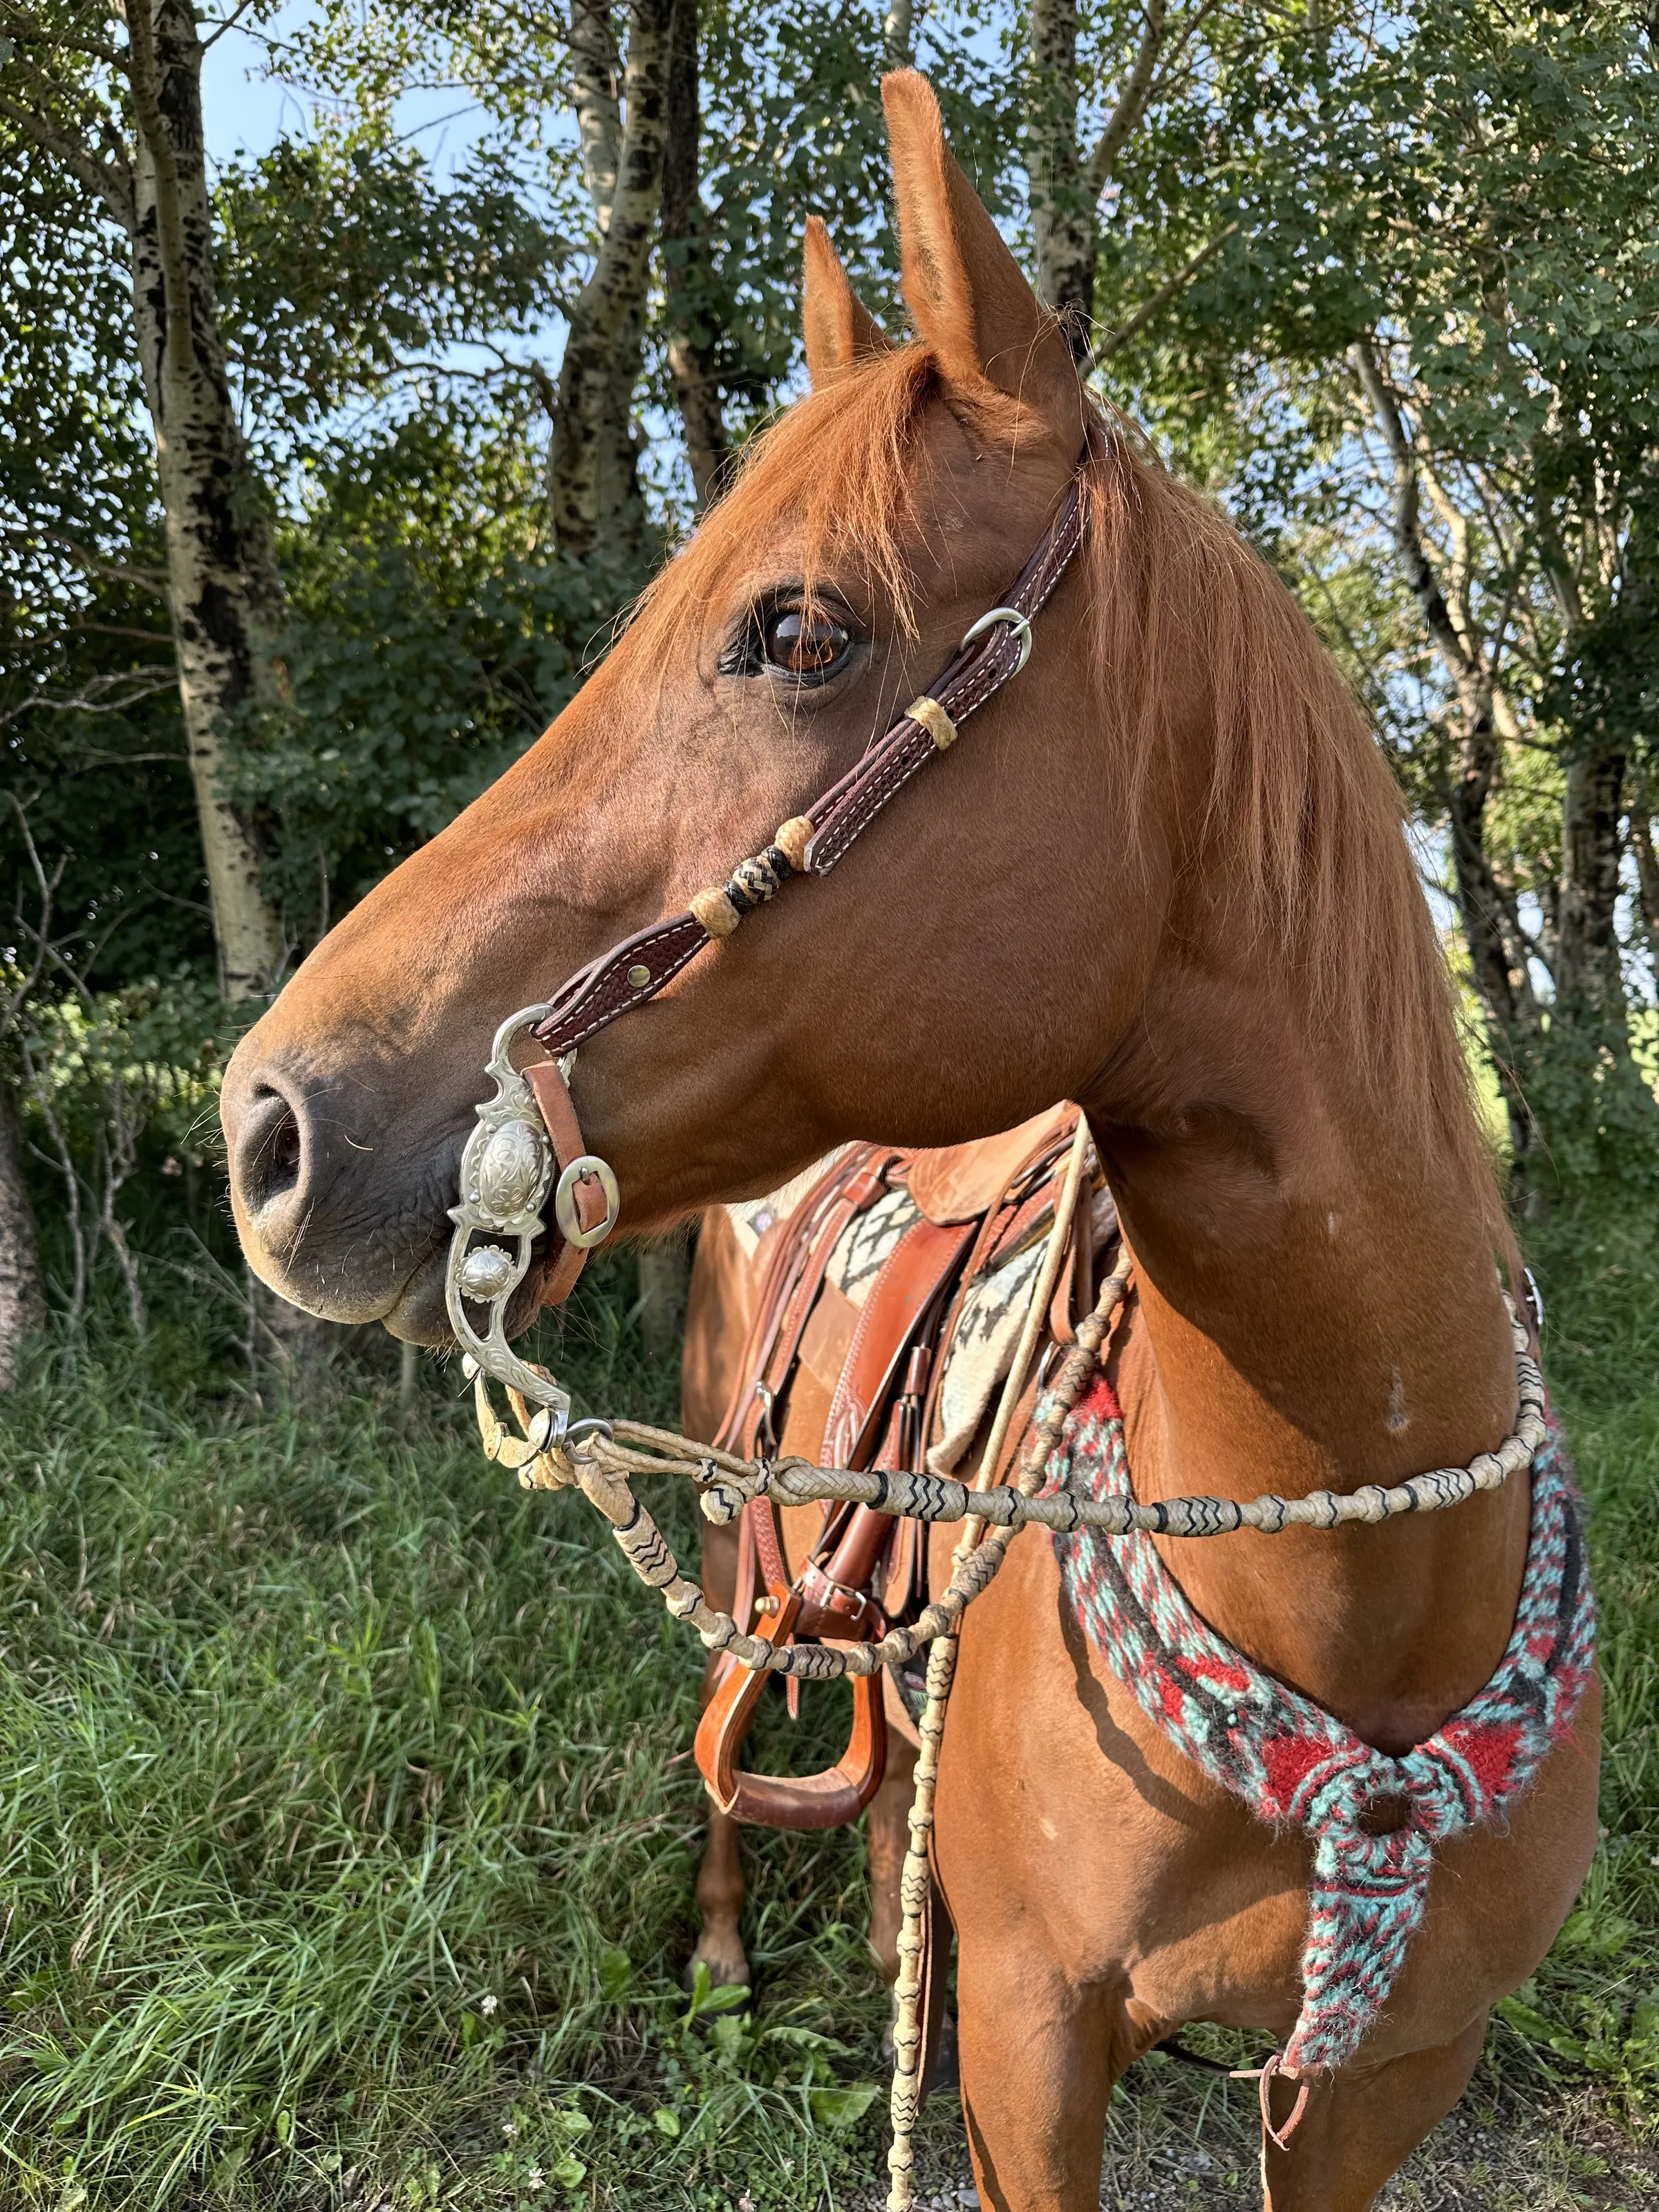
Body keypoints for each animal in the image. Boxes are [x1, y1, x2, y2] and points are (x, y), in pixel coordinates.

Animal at [222, 72, 1599, 2210]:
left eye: (795, 633)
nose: (267, 1124)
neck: (1356, 1591)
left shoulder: (1384, 2079)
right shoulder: (1048, 2050)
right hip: (731, 1504)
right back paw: (729, 1954)